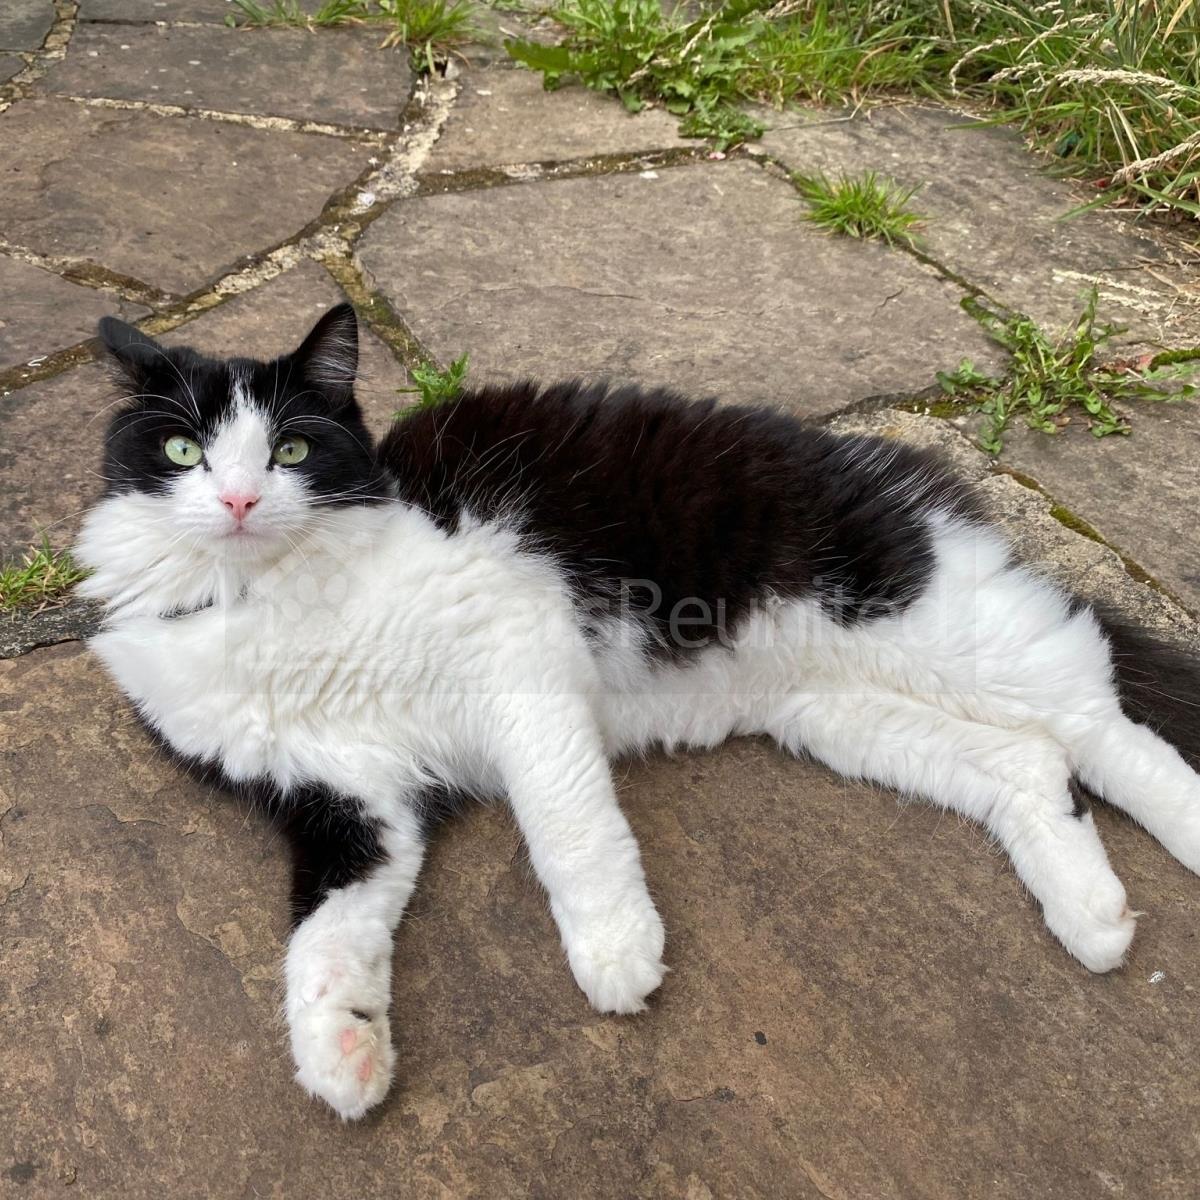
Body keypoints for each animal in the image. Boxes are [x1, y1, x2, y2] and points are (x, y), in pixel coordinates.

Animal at [75, 303, 1200, 1120]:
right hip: (840, 710)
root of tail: (914, 475)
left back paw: (1183, 832)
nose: (237, 502)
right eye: (182, 453)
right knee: (1029, 761)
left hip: (929, 619)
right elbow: (323, 932)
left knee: (1098, 715)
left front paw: (615, 946)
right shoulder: (347, 801)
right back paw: (1091, 914)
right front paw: (340, 1048)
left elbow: (563, 823)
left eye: (295, 453)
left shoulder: (517, 647)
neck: (261, 597)